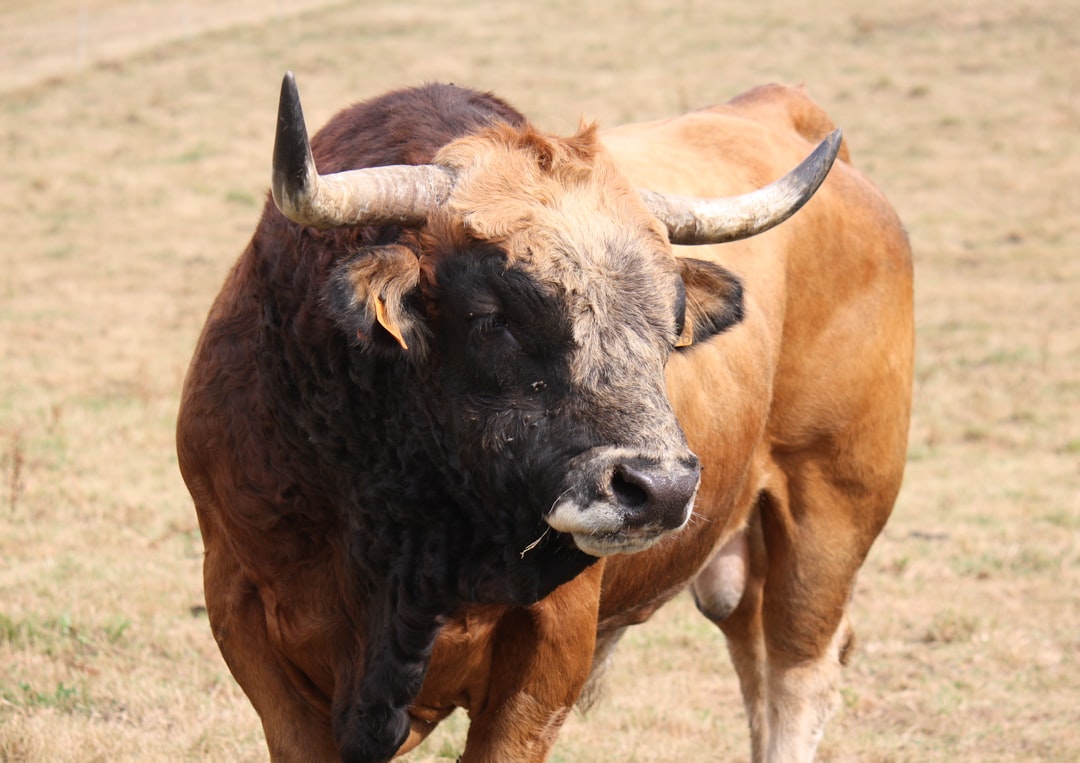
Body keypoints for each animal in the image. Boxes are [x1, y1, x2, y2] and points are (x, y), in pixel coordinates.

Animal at [176, 71, 913, 763]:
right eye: (490, 313)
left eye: (673, 316)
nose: (660, 488)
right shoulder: (244, 615)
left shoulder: (549, 652)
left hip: (833, 510)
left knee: (797, 670)